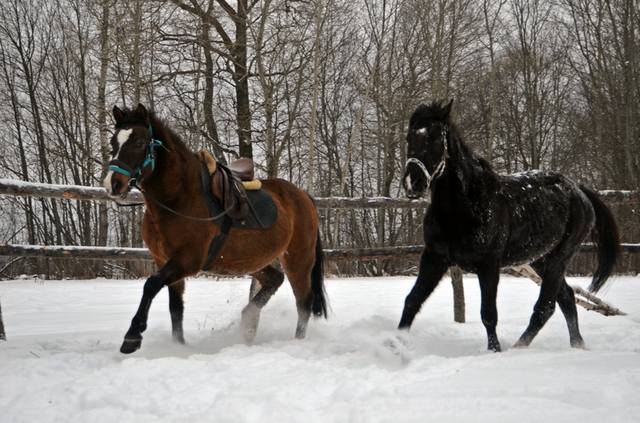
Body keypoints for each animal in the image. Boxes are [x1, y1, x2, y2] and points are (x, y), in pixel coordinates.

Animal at [104, 103, 328, 354]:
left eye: (140, 142)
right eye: (113, 142)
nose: (113, 183)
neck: (178, 199)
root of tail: (304, 196)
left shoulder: (187, 261)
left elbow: (150, 285)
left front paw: (132, 336)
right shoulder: (164, 261)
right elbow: (176, 308)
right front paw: (178, 346)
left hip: (298, 259)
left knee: (304, 303)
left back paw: (296, 342)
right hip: (251, 261)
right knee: (275, 280)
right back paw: (248, 320)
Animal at [400, 100, 620, 352]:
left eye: (435, 138)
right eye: (409, 137)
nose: (413, 183)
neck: (464, 206)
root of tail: (580, 191)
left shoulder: (489, 265)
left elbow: (488, 314)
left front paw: (494, 351)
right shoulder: (434, 259)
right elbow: (412, 300)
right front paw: (396, 342)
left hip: (559, 259)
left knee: (546, 306)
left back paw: (520, 347)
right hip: (541, 260)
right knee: (566, 298)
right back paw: (577, 344)